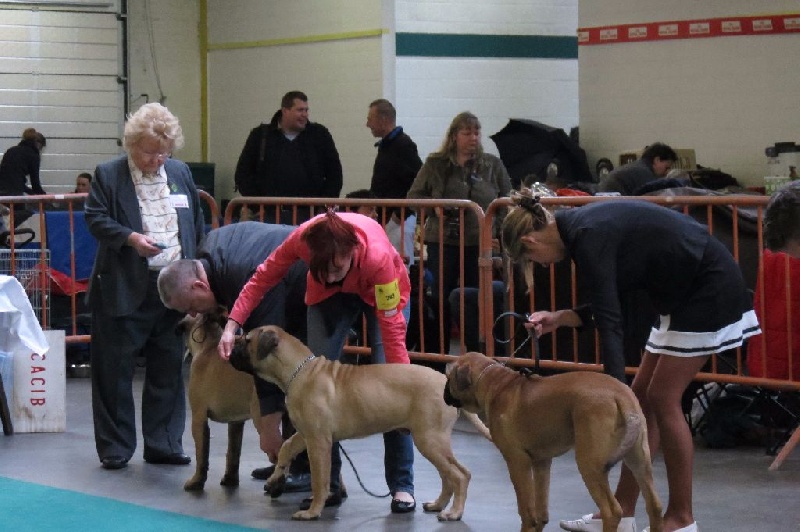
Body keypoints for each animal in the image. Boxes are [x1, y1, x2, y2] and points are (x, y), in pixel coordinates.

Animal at [179, 314, 260, 492]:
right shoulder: (236, 423)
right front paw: (230, 479)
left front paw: (197, 481)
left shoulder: (198, 419)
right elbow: (233, 452)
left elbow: (202, 455)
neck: (208, 346)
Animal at [230, 324, 494, 520]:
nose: (230, 350)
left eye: (246, 340)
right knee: (448, 476)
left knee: (460, 475)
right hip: (433, 443)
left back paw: (454, 513)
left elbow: (319, 479)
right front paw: (276, 478)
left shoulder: (318, 441)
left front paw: (312, 511)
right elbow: (285, 448)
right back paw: (438, 505)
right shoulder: (305, 434)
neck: (299, 372)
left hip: (430, 439)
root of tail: (446, 382)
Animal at [444, 354, 664, 532]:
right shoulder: (542, 463)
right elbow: (541, 510)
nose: (445, 394)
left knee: (612, 511)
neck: (495, 382)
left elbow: (526, 510)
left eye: (448, 376)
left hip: (589, 465)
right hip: (639, 461)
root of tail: (621, 397)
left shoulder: (517, 462)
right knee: (654, 506)